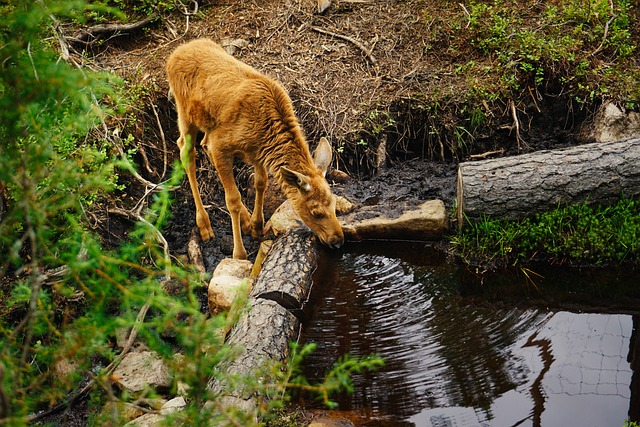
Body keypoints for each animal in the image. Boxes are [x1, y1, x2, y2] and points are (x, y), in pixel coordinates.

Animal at [166, 39, 344, 260]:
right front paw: (239, 253)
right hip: (185, 114)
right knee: (185, 150)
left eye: (334, 204)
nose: (338, 240)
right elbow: (232, 199)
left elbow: (261, 182)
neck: (265, 130)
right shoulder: (221, 145)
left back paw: (245, 219)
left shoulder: (256, 152)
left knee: (203, 143)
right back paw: (204, 225)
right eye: (316, 212)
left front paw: (256, 226)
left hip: (208, 128)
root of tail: (174, 55)